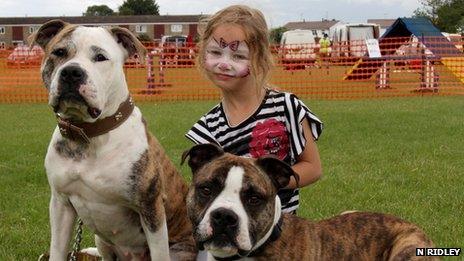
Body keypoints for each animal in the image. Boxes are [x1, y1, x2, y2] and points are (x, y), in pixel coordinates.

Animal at [30, 20, 194, 260]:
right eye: (59, 52)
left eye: (100, 57)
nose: (71, 72)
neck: (88, 134)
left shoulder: (151, 208)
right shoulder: (60, 204)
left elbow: (159, 252)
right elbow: (57, 250)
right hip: (103, 243)